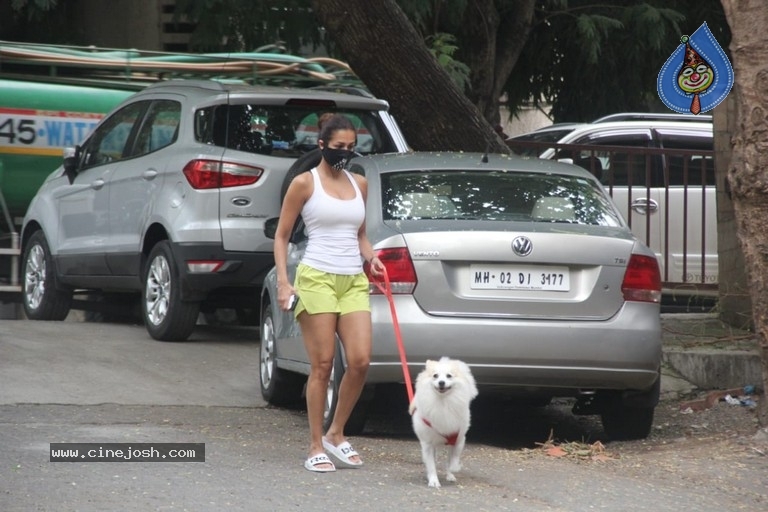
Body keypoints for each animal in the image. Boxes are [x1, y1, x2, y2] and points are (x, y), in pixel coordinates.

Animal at [412, 356, 476, 488]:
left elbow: (453, 459)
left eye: (449, 376)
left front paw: (454, 468)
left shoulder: (459, 440)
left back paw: (450, 475)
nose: (441, 382)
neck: (443, 402)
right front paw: (433, 480)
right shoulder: (427, 444)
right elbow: (431, 465)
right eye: (435, 376)